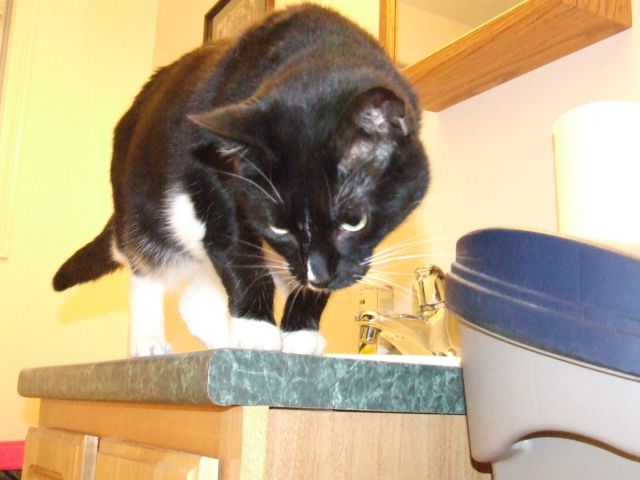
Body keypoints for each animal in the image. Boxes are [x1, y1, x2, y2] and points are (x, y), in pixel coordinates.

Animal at [52, 5, 429, 356]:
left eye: (354, 222)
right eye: (278, 226)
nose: (318, 275)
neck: (324, 50)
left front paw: (300, 332)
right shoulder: (210, 173)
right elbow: (236, 245)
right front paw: (256, 329)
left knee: (195, 297)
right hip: (144, 203)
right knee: (147, 261)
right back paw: (152, 340)